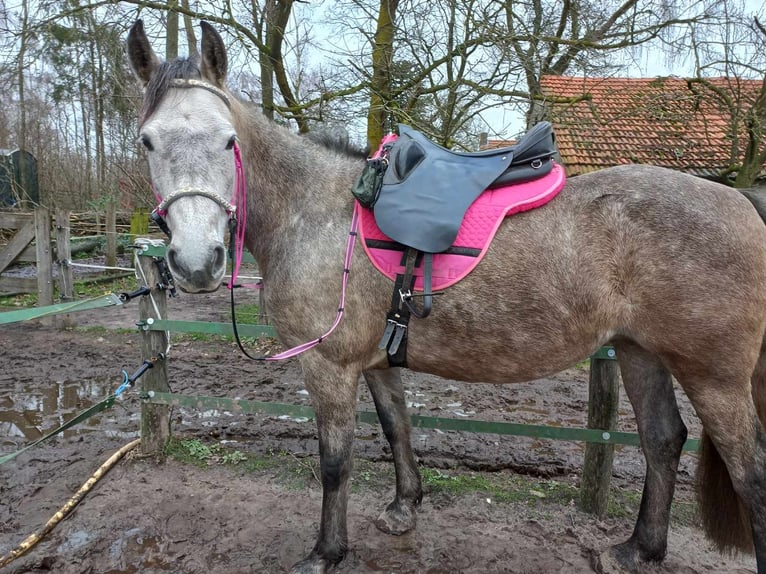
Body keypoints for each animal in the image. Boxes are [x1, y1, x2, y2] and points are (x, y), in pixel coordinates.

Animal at [129, 19, 766, 574]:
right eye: (147, 142)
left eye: (228, 141)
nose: (196, 261)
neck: (316, 214)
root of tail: (742, 202)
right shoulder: (375, 361)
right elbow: (397, 427)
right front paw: (404, 506)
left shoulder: (328, 365)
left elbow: (334, 462)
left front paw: (327, 552)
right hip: (640, 351)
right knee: (663, 439)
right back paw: (639, 549)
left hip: (713, 377)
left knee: (749, 471)